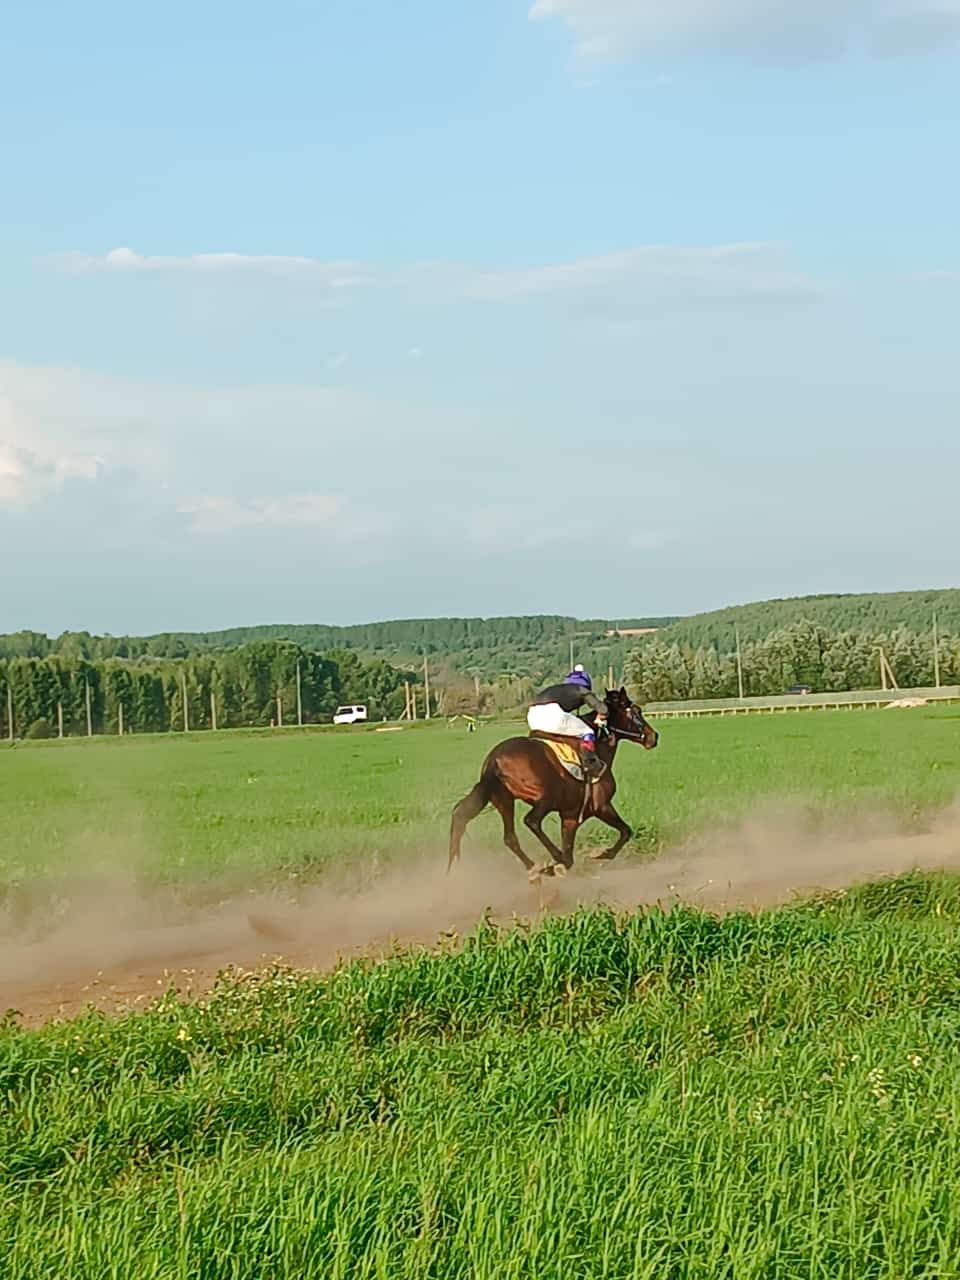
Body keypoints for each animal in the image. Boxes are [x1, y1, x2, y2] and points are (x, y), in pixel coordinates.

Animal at [450, 691, 660, 880]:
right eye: (636, 711)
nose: (654, 736)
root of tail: (494, 760)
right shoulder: (601, 806)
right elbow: (625, 831)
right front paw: (600, 854)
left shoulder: (570, 816)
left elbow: (572, 849)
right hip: (545, 797)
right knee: (531, 821)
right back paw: (552, 860)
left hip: (504, 801)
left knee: (509, 837)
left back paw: (534, 869)